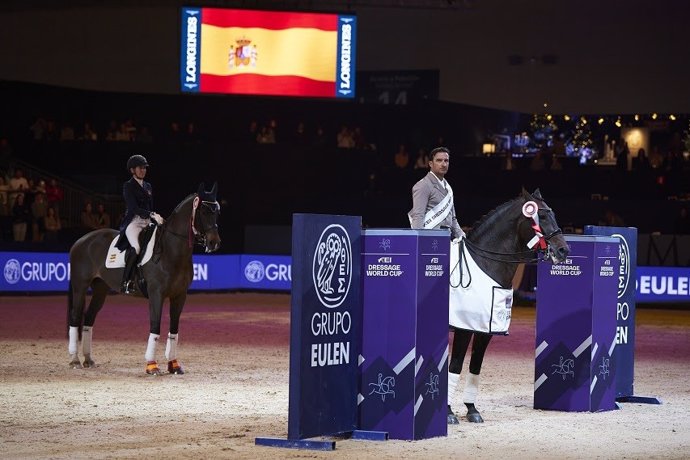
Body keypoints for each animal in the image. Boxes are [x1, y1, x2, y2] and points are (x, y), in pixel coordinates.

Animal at [67, 182, 220, 374]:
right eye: (204, 211)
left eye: (217, 211)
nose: (214, 243)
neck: (172, 250)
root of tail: (80, 241)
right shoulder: (156, 294)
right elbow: (155, 325)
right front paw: (152, 365)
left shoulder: (180, 295)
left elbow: (174, 328)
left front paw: (174, 364)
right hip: (79, 286)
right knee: (75, 317)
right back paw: (74, 360)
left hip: (100, 288)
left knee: (89, 317)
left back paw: (88, 359)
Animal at [446, 188, 568, 424]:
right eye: (542, 216)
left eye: (554, 214)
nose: (563, 250)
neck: (484, 265)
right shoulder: (464, 328)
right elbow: (455, 364)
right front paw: (447, 413)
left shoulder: (486, 329)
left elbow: (475, 365)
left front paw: (472, 410)